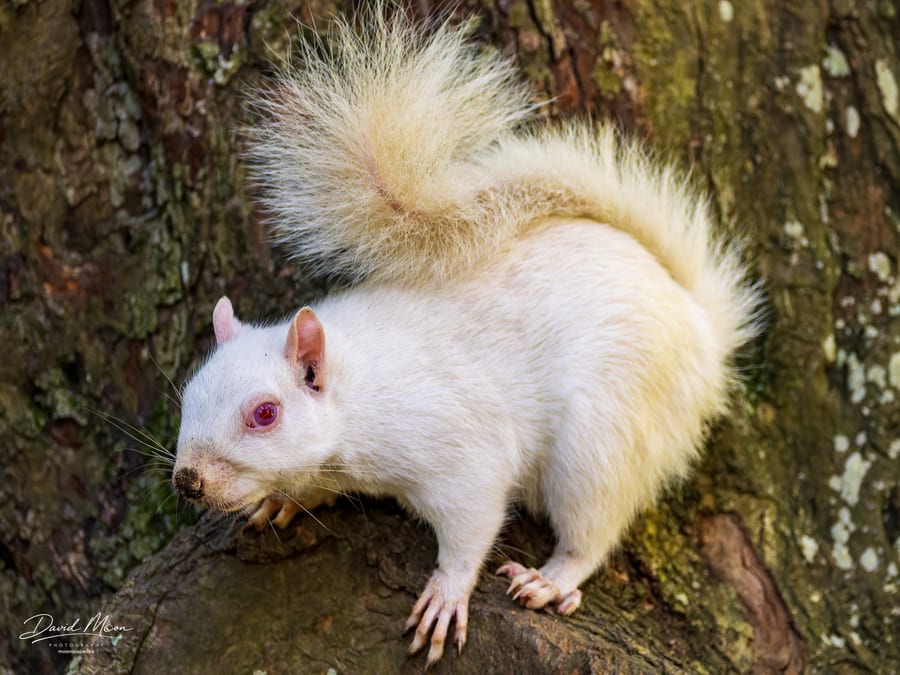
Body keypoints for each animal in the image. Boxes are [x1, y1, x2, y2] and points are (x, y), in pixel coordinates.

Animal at [172, 7, 760, 668]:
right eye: (188, 394)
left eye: (266, 414)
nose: (187, 481)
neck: (360, 391)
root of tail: (699, 328)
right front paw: (287, 498)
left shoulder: (461, 452)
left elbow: (473, 523)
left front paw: (446, 595)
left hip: (605, 437)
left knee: (593, 528)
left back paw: (551, 578)